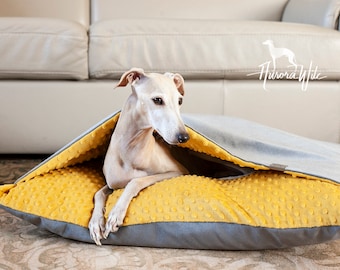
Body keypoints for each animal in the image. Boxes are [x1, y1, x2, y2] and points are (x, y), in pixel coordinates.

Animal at [88, 67, 189, 245]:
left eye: (180, 101)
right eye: (157, 100)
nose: (183, 137)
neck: (131, 150)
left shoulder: (178, 172)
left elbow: (135, 181)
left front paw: (115, 214)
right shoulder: (113, 183)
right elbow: (98, 193)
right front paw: (95, 223)